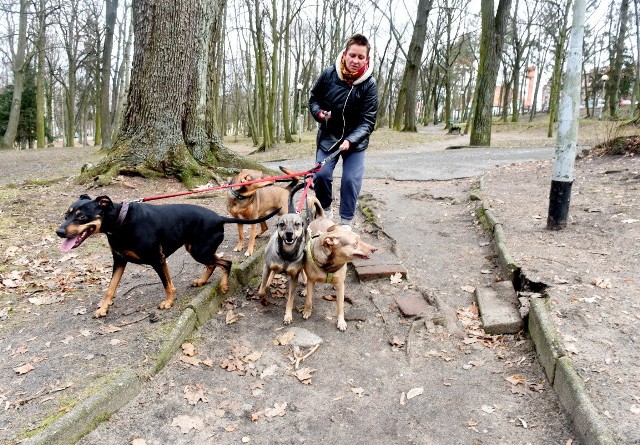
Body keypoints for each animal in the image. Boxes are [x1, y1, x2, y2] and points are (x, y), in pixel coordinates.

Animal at [57, 193, 280, 316]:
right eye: (66, 215)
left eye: (81, 216)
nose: (59, 232)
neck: (121, 221)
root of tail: (219, 217)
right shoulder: (119, 261)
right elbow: (110, 289)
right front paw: (103, 309)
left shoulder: (158, 259)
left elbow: (167, 284)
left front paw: (168, 302)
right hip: (196, 249)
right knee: (213, 264)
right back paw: (202, 281)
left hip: (200, 250)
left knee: (226, 262)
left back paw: (224, 285)